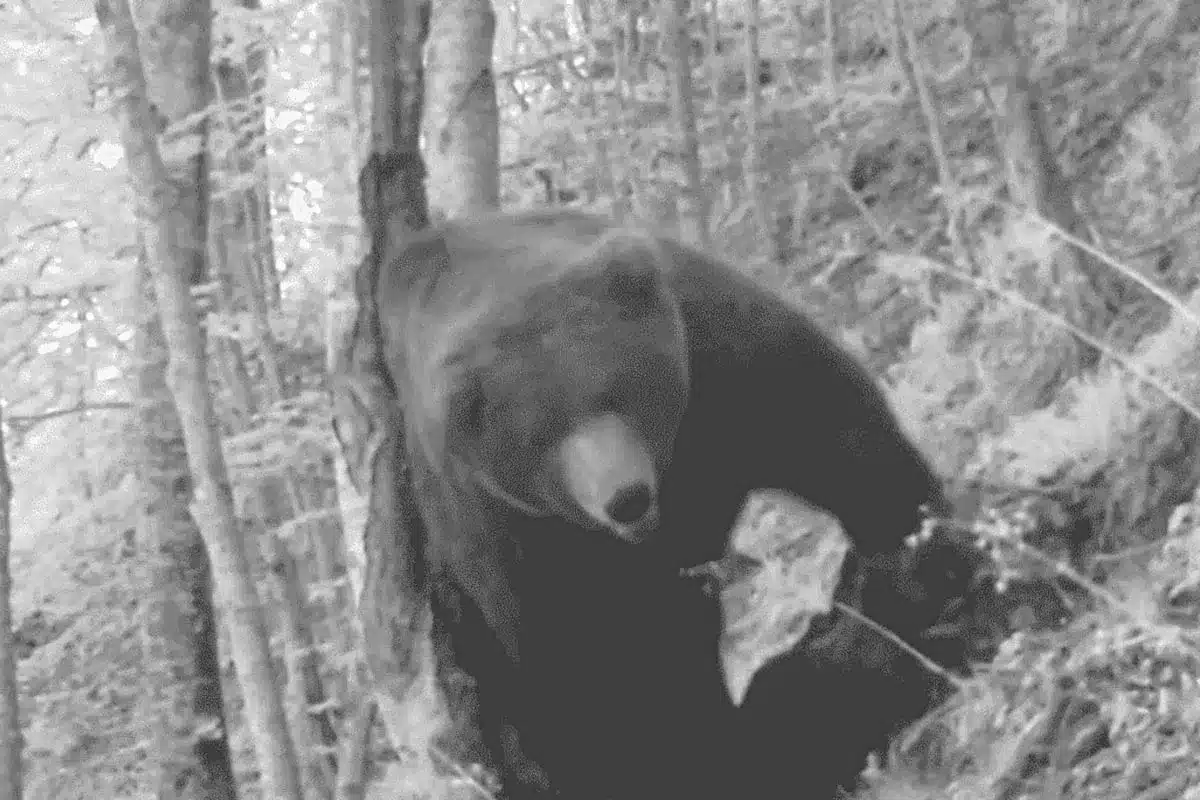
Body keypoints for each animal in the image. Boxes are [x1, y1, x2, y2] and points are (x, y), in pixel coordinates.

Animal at [372, 208, 948, 799]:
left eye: (615, 391)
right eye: (542, 439)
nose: (625, 497)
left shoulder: (711, 349)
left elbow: (829, 429)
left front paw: (916, 562)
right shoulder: (501, 526)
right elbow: (603, 673)